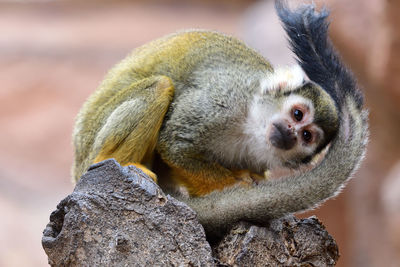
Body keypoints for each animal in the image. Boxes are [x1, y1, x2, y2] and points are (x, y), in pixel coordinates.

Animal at [72, 0, 368, 239]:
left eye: (307, 136)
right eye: (297, 114)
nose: (289, 132)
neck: (251, 126)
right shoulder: (225, 98)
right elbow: (176, 144)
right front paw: (239, 184)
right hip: (93, 143)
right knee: (159, 86)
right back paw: (118, 161)